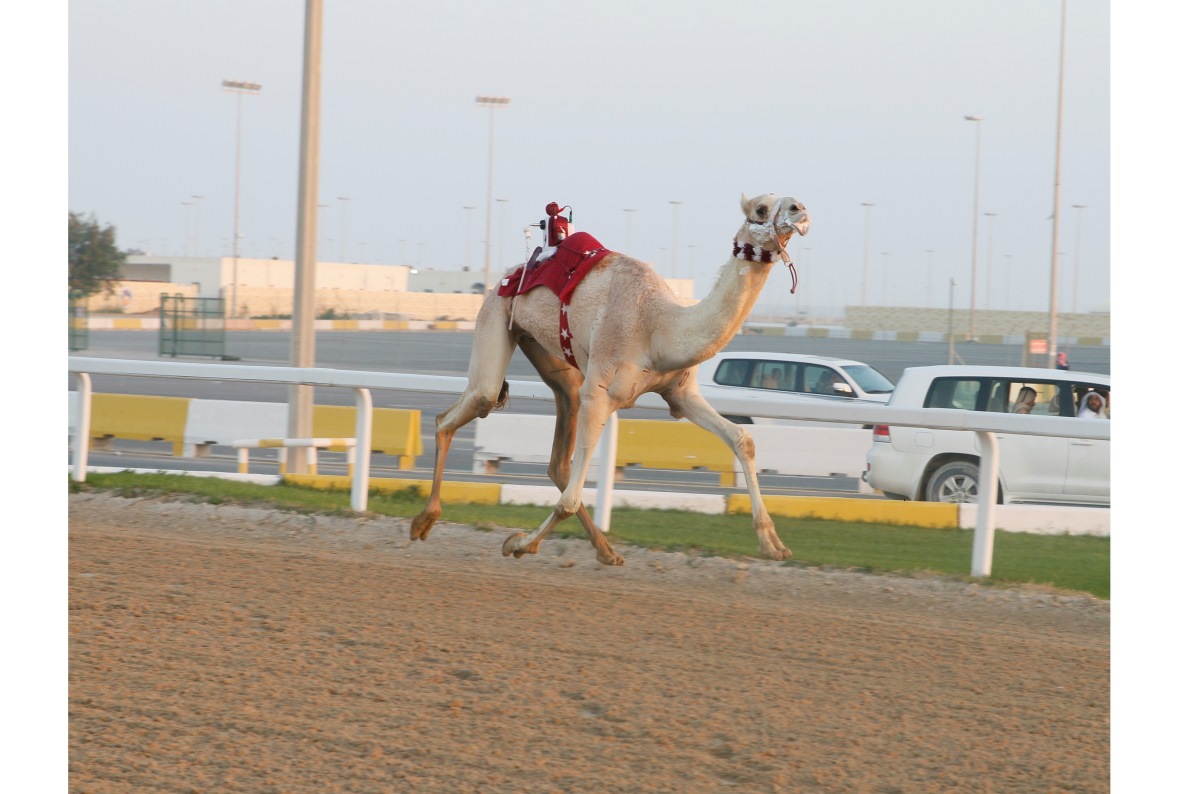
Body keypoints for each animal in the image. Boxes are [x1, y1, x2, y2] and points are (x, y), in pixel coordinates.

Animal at [413, 192, 812, 563]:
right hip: (496, 315)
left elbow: (742, 438)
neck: (659, 327)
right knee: (464, 407)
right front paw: (516, 544)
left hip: (552, 357)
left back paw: (606, 550)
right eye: (761, 209)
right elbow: (570, 499)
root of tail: (509, 273)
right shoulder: (601, 392)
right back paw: (424, 521)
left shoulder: (679, 393)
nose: (801, 210)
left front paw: (774, 544)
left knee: (557, 458)